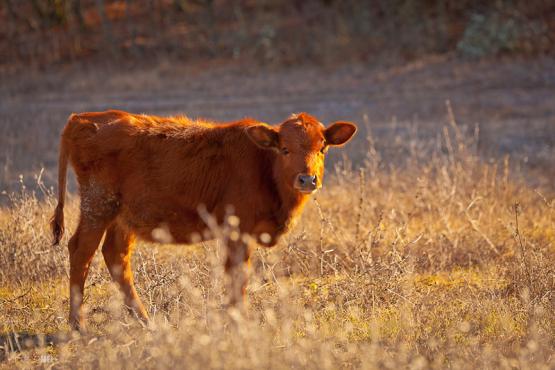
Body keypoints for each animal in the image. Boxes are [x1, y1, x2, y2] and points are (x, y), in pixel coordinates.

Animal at [52, 110, 356, 330]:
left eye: (323, 148)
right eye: (284, 149)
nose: (307, 179)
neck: (263, 166)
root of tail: (84, 118)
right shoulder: (237, 230)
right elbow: (237, 275)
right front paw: (238, 320)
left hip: (122, 216)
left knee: (116, 256)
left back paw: (144, 320)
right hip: (97, 206)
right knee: (81, 252)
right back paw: (78, 325)